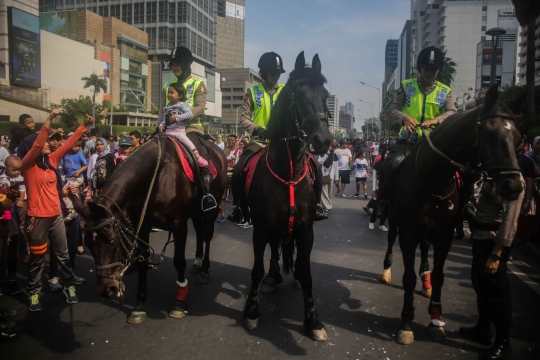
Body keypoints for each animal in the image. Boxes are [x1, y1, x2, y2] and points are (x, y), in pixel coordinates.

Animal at [73, 135, 226, 324]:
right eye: (88, 244)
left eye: (112, 240)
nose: (106, 289)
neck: (158, 175)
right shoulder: (143, 225)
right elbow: (142, 262)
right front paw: (139, 305)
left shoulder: (179, 225)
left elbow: (179, 261)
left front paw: (179, 302)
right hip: (196, 212)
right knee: (198, 231)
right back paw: (197, 262)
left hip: (213, 209)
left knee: (208, 235)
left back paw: (204, 269)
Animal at [242, 52, 334, 342]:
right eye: (298, 95)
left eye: (325, 95)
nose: (323, 141)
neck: (289, 170)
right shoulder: (260, 228)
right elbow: (256, 269)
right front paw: (251, 311)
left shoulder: (306, 230)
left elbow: (307, 273)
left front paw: (313, 320)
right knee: (274, 249)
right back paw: (272, 278)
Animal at [380, 85, 524, 346]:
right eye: (489, 135)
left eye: (518, 139)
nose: (514, 186)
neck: (433, 180)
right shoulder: (407, 233)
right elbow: (408, 278)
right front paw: (406, 324)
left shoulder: (444, 235)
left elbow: (440, 276)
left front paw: (435, 320)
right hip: (395, 221)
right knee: (390, 240)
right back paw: (386, 271)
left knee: (425, 250)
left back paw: (425, 280)